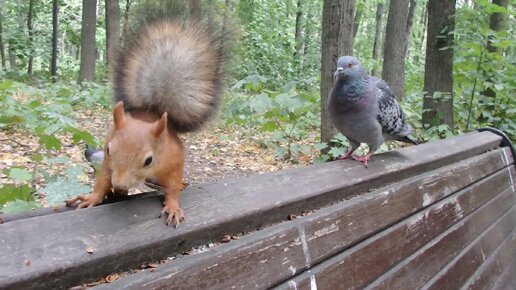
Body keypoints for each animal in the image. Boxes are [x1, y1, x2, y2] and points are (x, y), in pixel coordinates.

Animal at [65, 21, 226, 228]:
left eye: (148, 160)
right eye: (109, 150)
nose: (119, 184)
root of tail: (153, 111)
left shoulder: (174, 162)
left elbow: (173, 188)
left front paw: (173, 207)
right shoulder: (107, 164)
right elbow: (102, 181)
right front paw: (93, 197)